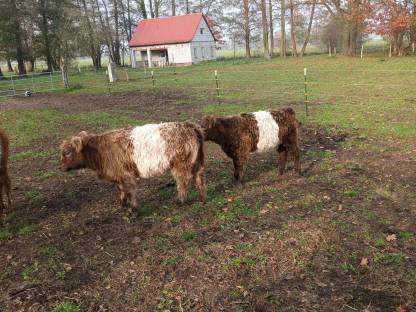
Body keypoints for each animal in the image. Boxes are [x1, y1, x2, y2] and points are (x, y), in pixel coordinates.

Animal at [59, 122, 206, 210]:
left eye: (67, 152)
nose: (60, 167)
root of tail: (189, 125)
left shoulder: (126, 174)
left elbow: (130, 190)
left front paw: (133, 209)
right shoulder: (118, 175)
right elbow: (121, 189)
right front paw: (122, 203)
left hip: (180, 165)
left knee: (183, 182)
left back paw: (179, 201)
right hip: (197, 161)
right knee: (199, 177)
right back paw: (202, 198)